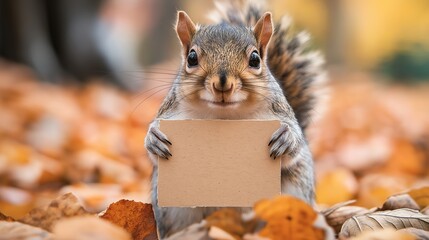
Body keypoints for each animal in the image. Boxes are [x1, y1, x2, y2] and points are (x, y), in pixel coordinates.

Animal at [145, 0, 324, 236]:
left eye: (255, 59)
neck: (225, 116)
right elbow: (153, 153)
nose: (223, 83)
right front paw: (154, 137)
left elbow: (295, 146)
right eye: (191, 58)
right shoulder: (170, 111)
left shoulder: (281, 112)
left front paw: (286, 138)